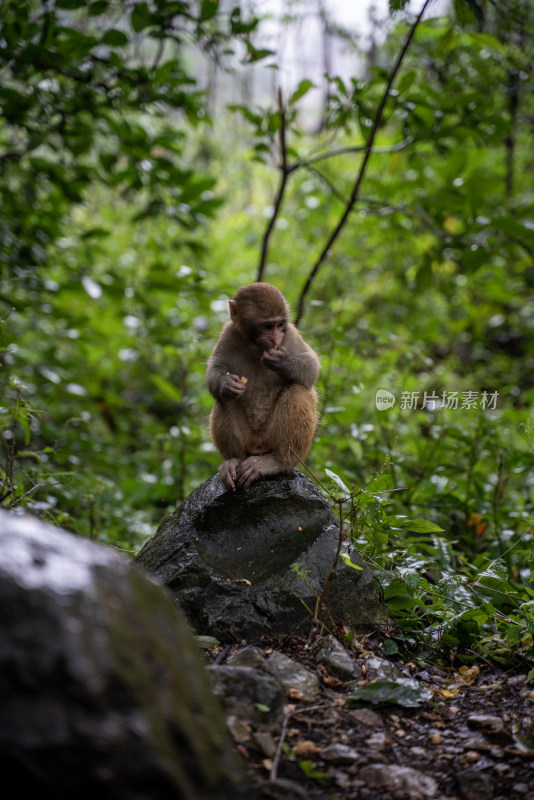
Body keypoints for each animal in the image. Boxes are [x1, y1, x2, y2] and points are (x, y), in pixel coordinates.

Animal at [207, 282, 320, 494]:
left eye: (280, 325)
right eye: (267, 326)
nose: (276, 339)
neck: (255, 345)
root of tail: (258, 446)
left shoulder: (290, 334)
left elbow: (311, 367)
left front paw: (281, 361)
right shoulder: (229, 333)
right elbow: (214, 370)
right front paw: (226, 384)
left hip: (272, 437)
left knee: (297, 391)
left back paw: (278, 462)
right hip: (248, 442)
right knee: (225, 400)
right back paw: (233, 460)